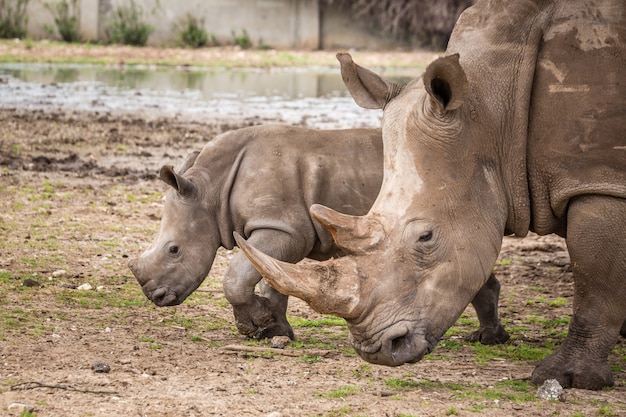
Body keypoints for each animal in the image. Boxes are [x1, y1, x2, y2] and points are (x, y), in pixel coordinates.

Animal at [127, 123, 508, 342]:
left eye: (174, 250)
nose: (155, 297)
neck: (211, 190)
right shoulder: (285, 231)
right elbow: (271, 277)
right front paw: (273, 331)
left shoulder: (283, 226)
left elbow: (239, 274)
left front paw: (255, 325)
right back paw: (489, 338)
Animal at [234, 0, 624, 390]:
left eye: (426, 237)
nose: (376, 349)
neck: (493, 115)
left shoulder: (598, 181)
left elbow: (594, 279)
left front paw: (567, 377)